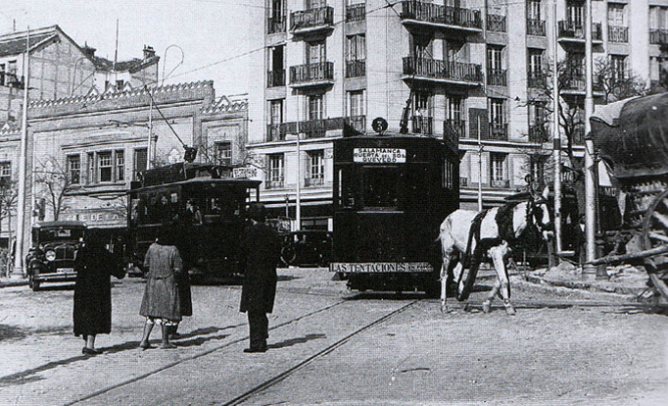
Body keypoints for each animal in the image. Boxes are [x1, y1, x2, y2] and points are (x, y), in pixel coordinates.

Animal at [436, 186, 552, 316]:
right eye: (539, 210)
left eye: (549, 209)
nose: (550, 234)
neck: (506, 225)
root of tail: (447, 218)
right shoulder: (496, 255)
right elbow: (504, 280)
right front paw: (508, 306)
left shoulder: (504, 257)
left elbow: (498, 282)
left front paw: (487, 303)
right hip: (448, 251)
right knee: (444, 275)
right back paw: (444, 304)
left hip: (465, 251)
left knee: (457, 270)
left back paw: (463, 297)